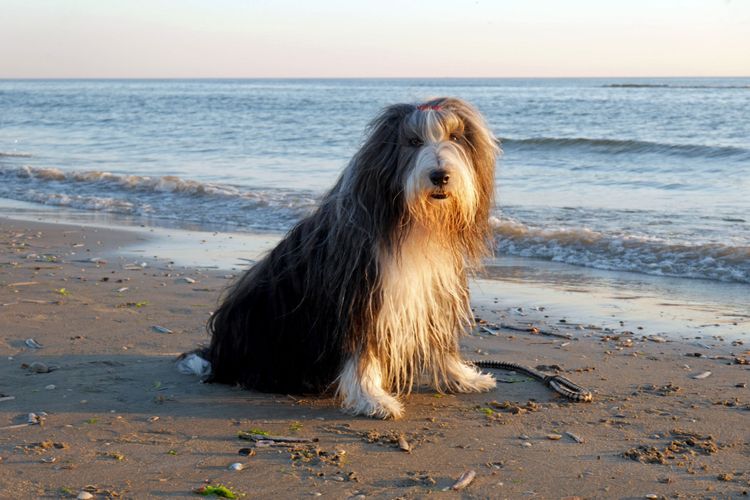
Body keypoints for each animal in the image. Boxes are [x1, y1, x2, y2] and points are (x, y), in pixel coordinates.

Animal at [179, 96, 502, 418]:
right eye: (413, 141)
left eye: (455, 137)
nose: (440, 176)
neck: (413, 221)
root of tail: (218, 354)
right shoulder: (362, 296)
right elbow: (362, 352)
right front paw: (372, 398)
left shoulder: (433, 292)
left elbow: (439, 341)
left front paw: (461, 377)